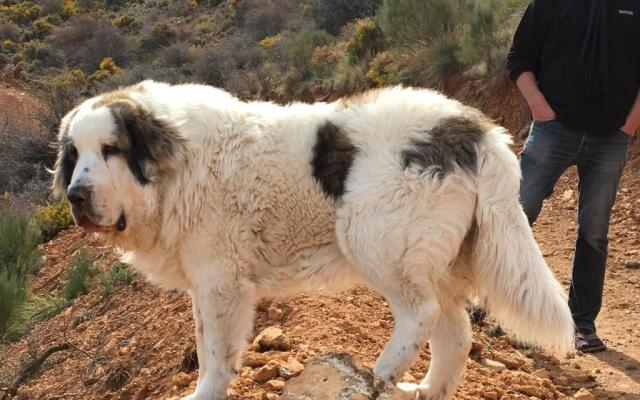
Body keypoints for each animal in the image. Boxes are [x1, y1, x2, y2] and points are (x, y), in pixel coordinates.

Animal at [53, 82, 576, 400]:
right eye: (75, 154)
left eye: (112, 150)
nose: (76, 196)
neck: (175, 169)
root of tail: (474, 128)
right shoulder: (206, 285)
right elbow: (203, 343)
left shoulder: (220, 283)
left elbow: (214, 354)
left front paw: (205, 392)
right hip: (437, 261)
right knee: (456, 332)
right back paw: (427, 390)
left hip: (376, 240)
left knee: (421, 314)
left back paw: (381, 375)